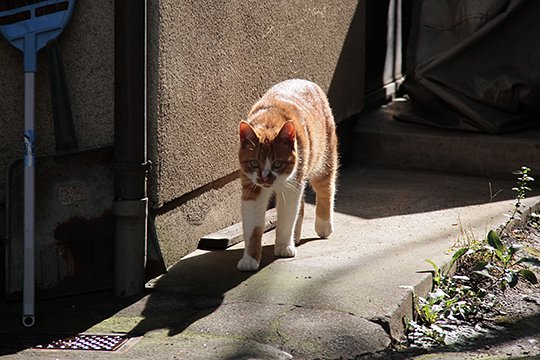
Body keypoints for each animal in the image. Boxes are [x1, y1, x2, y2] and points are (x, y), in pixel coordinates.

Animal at [237, 79, 338, 270]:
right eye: (254, 163)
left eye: (278, 163)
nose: (265, 177)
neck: (269, 120)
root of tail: (304, 81)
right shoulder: (252, 189)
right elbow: (253, 227)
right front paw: (250, 258)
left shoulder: (290, 187)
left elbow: (286, 218)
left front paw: (284, 247)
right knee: (302, 205)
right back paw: (296, 236)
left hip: (324, 159)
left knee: (326, 189)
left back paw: (324, 225)